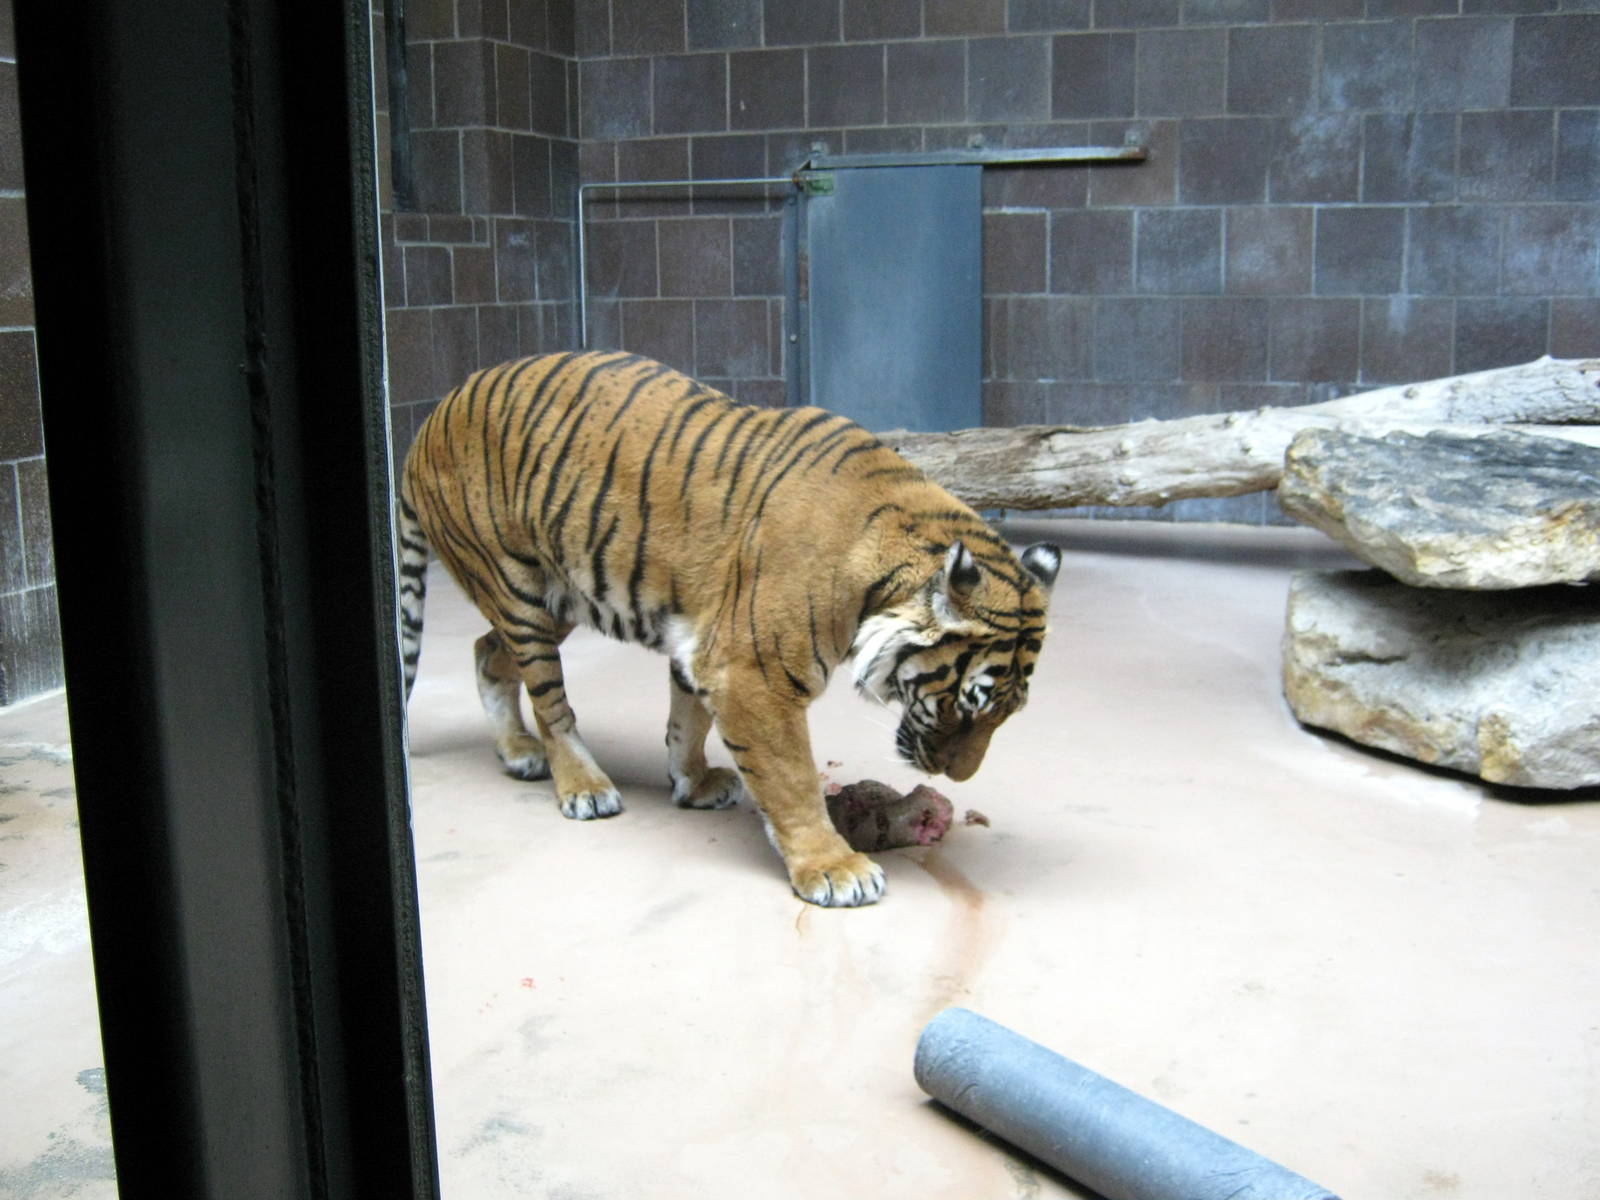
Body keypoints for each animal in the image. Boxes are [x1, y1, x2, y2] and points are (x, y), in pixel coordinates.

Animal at [397, 350, 1061, 907]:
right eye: (969, 706)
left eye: (1006, 714)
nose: (958, 777)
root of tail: (428, 420)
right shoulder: (753, 675)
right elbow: (791, 777)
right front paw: (834, 868)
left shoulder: (704, 646)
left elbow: (687, 721)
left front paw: (691, 783)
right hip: (520, 589)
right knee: (549, 700)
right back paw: (582, 785)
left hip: (557, 598)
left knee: (486, 652)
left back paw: (517, 752)